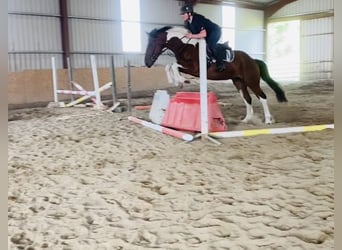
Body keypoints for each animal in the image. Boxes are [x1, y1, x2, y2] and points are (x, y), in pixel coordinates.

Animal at [143, 24, 288, 124]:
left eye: (153, 44)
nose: (147, 63)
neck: (186, 47)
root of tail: (253, 60)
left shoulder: (194, 69)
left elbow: (173, 65)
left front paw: (182, 81)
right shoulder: (186, 67)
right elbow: (169, 66)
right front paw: (176, 81)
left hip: (252, 81)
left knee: (262, 97)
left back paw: (268, 120)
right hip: (239, 82)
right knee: (247, 99)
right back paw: (246, 119)